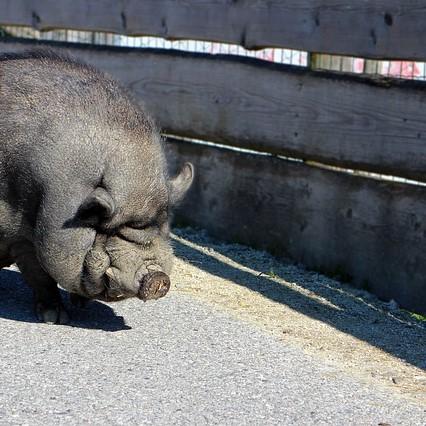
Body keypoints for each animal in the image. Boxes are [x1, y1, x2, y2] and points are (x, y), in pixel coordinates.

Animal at [0, 50, 193, 322]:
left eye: (163, 228)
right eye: (113, 231)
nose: (158, 278)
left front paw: (81, 306)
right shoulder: (22, 235)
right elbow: (40, 277)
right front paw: (56, 318)